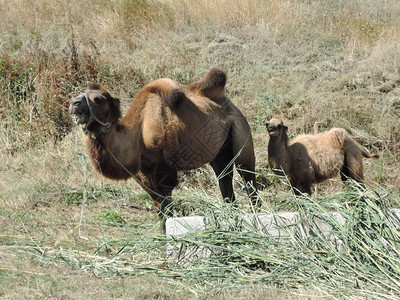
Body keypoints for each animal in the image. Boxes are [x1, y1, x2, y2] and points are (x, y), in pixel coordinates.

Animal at [70, 68, 258, 230]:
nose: (74, 103)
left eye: (99, 99)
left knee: (249, 181)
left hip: (242, 135)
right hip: (220, 151)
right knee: (225, 183)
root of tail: (229, 103)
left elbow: (166, 209)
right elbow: (159, 208)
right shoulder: (143, 173)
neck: (138, 132)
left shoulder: (163, 170)